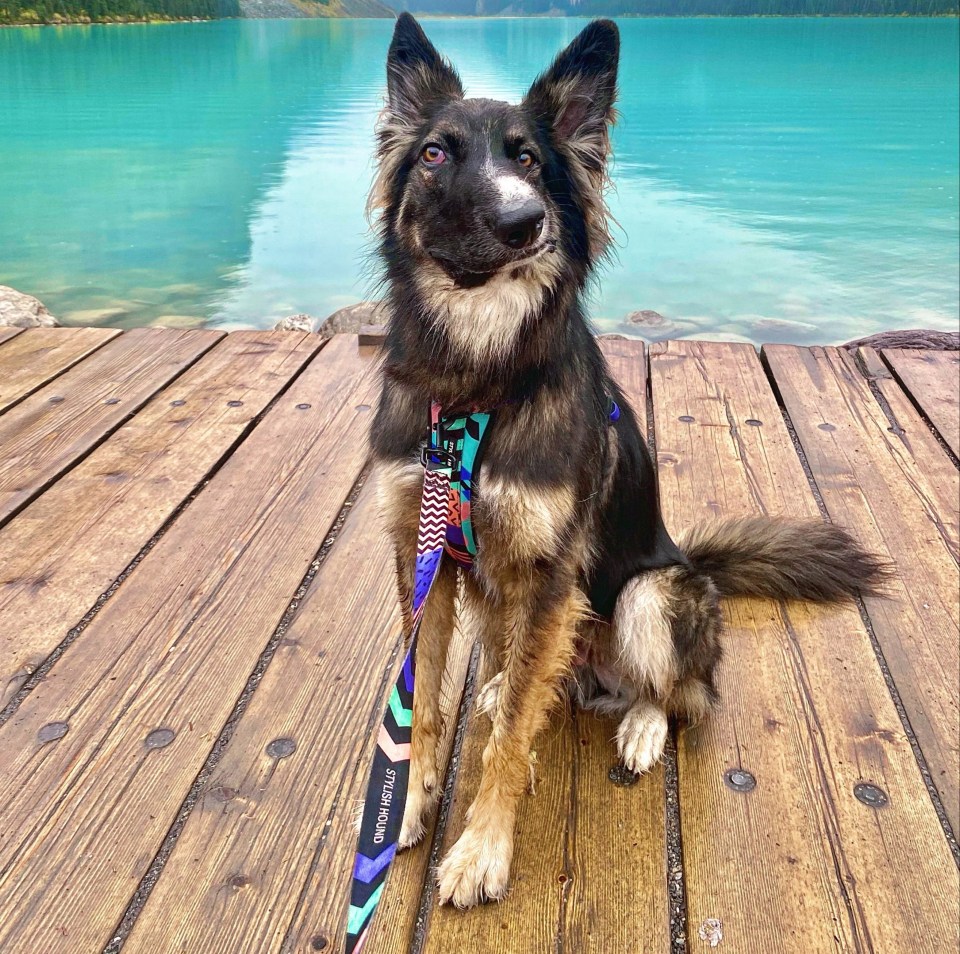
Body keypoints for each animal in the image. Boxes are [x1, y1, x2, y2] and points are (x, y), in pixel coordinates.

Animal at [366, 14, 884, 908]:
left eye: (529, 159)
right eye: (433, 153)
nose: (524, 221)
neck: (475, 379)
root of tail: (692, 560)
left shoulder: (552, 572)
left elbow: (510, 743)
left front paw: (482, 848)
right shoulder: (421, 551)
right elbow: (424, 700)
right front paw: (410, 802)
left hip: (647, 593)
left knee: (687, 693)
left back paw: (640, 722)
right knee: (523, 669)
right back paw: (503, 682)